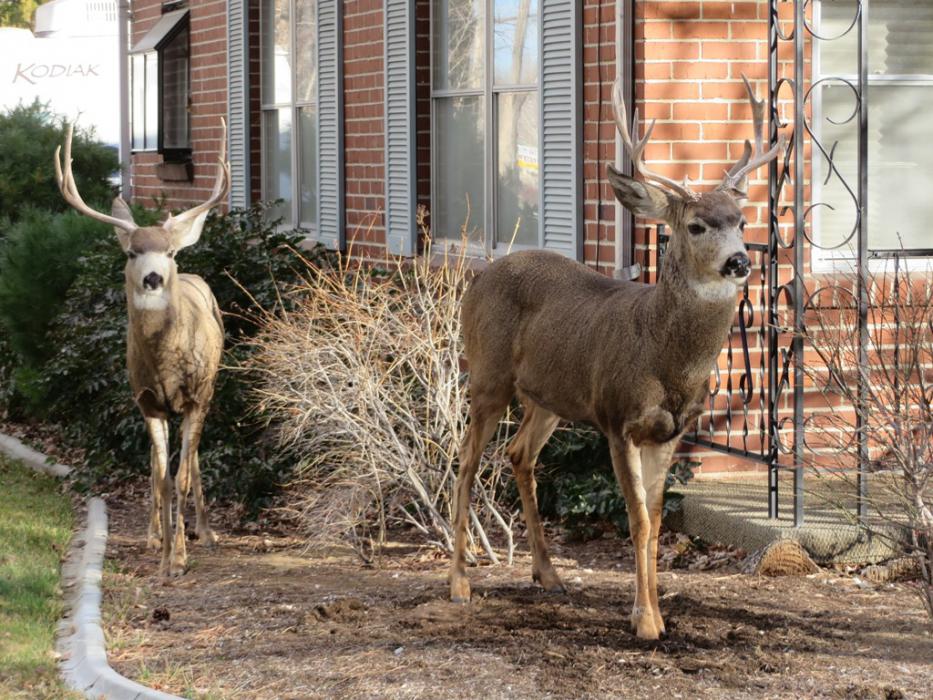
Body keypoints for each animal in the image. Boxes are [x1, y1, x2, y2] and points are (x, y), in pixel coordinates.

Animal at [55, 120, 230, 577]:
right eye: (133, 252)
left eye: (168, 251)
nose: (153, 278)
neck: (165, 362)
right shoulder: (147, 400)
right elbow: (163, 477)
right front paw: (167, 557)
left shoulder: (195, 395)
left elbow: (181, 475)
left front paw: (181, 556)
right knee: (156, 465)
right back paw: (155, 535)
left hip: (208, 390)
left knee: (195, 458)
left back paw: (205, 532)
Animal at [448, 76, 785, 639]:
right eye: (696, 226)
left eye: (741, 221)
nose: (739, 261)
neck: (665, 358)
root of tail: (479, 280)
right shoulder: (617, 419)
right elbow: (639, 520)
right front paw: (646, 621)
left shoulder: (669, 431)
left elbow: (656, 519)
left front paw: (653, 613)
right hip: (488, 377)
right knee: (467, 459)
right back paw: (458, 582)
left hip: (549, 397)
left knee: (519, 453)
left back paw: (548, 574)